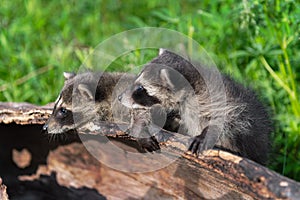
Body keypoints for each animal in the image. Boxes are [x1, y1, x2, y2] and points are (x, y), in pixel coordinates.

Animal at [119, 49, 272, 165]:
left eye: (140, 88)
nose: (120, 97)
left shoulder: (221, 99)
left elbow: (230, 122)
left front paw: (207, 133)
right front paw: (141, 127)